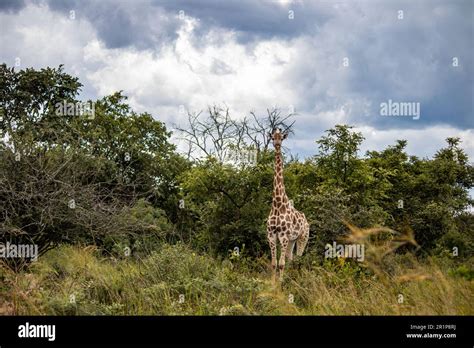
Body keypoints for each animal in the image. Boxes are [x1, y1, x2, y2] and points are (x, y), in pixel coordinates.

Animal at [266, 128, 312, 280]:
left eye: (282, 137)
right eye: (273, 137)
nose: (277, 144)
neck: (277, 204)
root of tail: (306, 220)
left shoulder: (284, 236)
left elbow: (281, 264)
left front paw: (280, 283)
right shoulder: (271, 235)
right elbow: (274, 263)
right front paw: (273, 283)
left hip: (303, 237)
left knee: (298, 258)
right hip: (292, 240)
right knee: (291, 258)